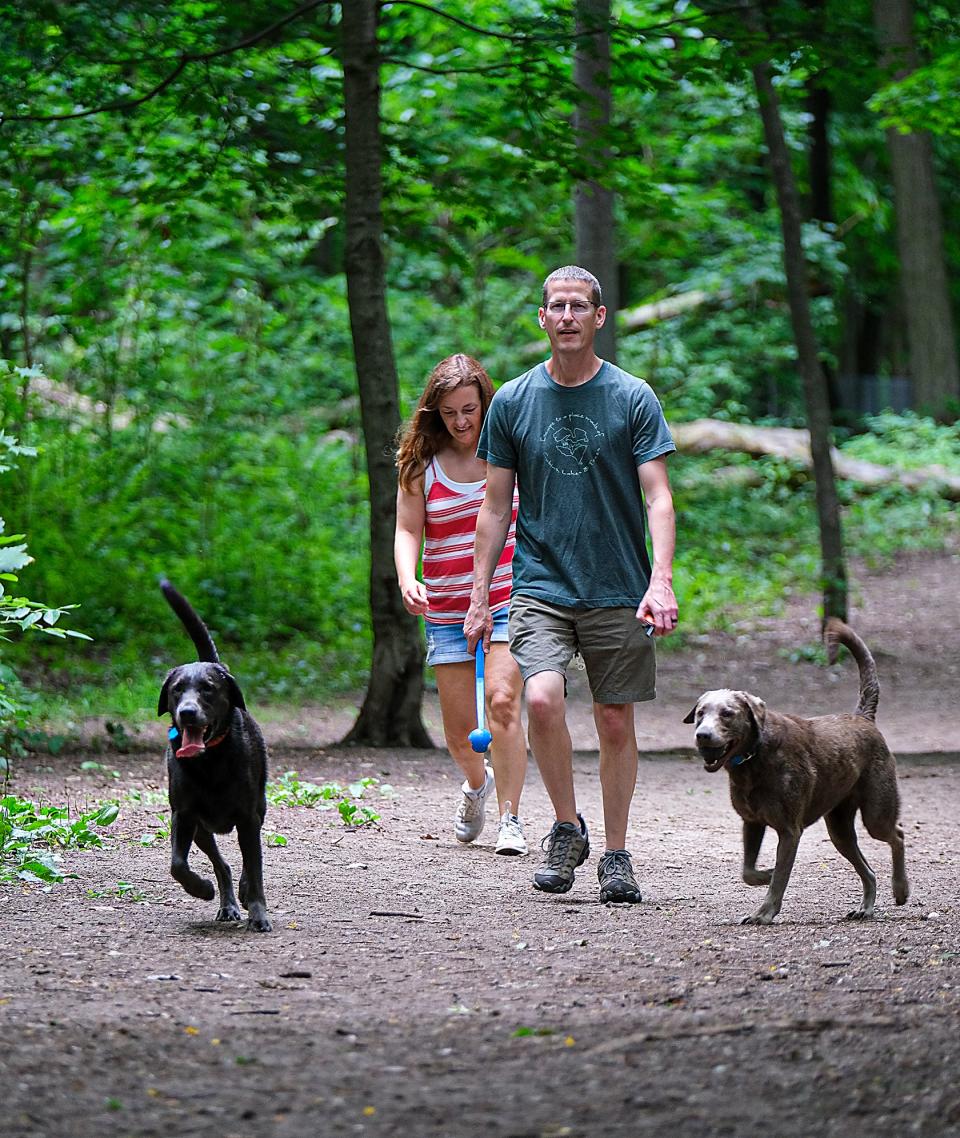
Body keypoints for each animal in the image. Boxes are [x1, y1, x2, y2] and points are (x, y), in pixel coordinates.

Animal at [156, 578, 269, 933]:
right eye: (177, 689)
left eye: (208, 687)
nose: (187, 712)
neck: (209, 763)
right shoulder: (184, 815)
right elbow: (177, 864)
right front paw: (201, 888)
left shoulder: (248, 816)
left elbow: (255, 869)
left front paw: (258, 913)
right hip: (203, 830)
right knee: (223, 864)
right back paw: (227, 903)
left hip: (259, 807)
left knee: (247, 862)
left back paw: (242, 897)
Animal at [682, 614, 905, 924]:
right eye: (700, 713)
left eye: (727, 713)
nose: (702, 735)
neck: (754, 758)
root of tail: (863, 717)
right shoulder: (752, 822)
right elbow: (748, 871)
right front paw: (766, 873)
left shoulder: (789, 830)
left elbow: (780, 879)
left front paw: (763, 913)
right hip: (839, 827)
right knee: (869, 870)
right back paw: (865, 908)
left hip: (876, 813)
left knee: (897, 835)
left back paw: (901, 890)